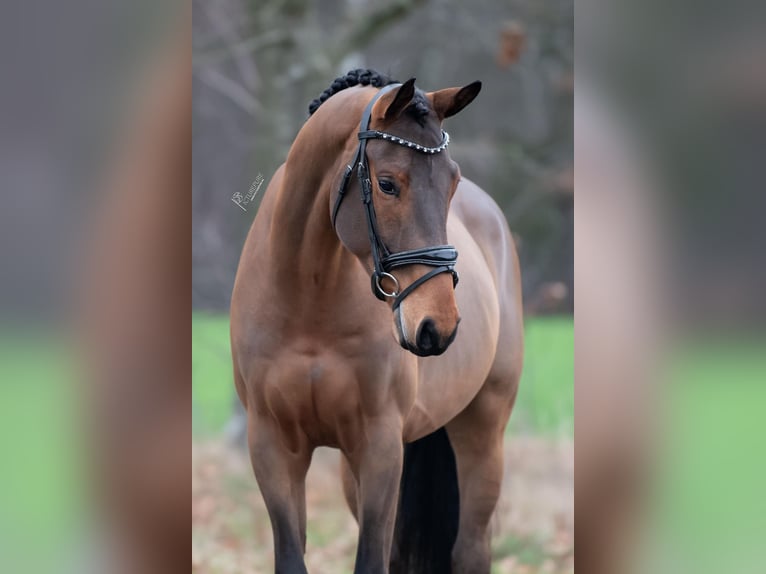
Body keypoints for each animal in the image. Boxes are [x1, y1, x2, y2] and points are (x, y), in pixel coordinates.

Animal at [230, 70, 524, 574]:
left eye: (452, 182)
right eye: (387, 184)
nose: (438, 324)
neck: (308, 300)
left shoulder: (380, 446)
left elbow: (370, 559)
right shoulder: (273, 447)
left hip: (483, 432)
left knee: (470, 547)